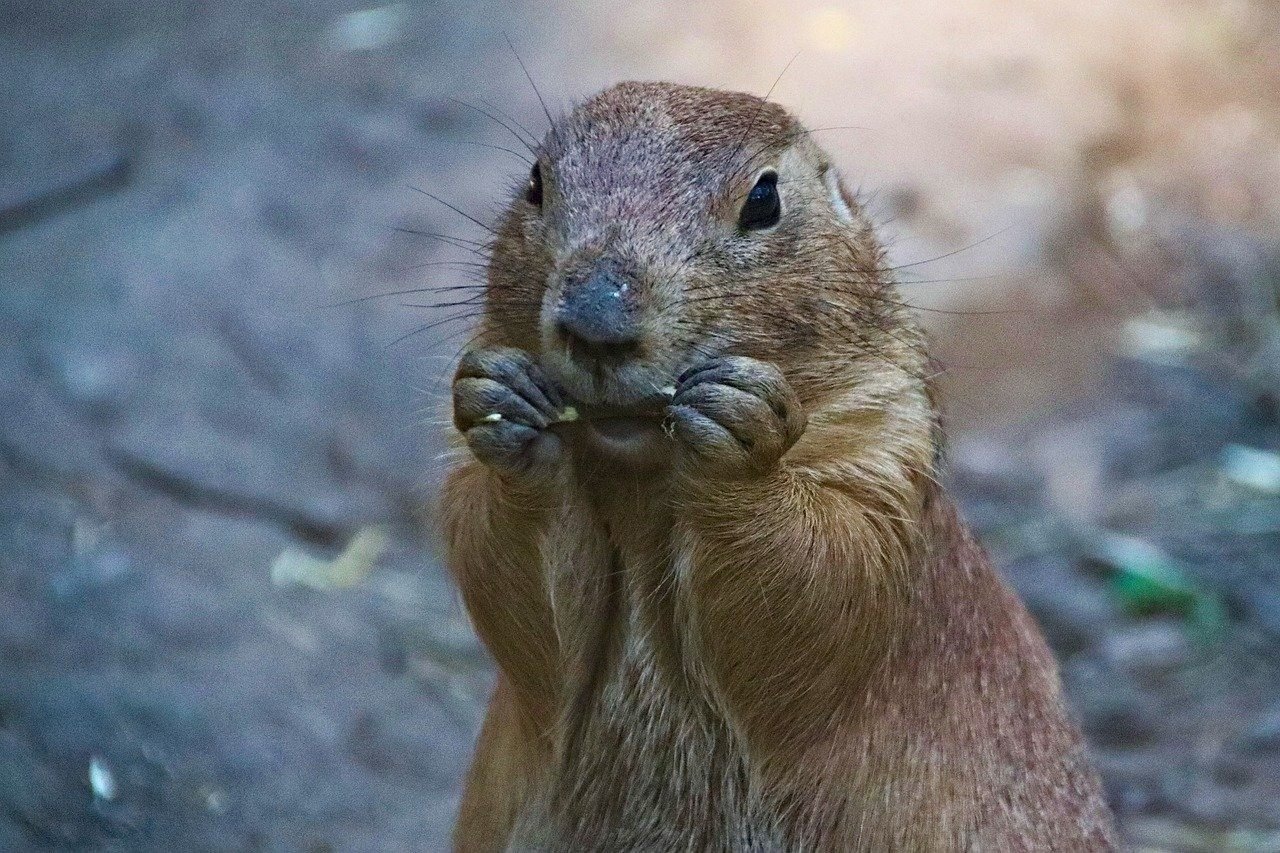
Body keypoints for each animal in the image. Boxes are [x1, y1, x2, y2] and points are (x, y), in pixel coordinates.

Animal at [440, 81, 1117, 851]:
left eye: (764, 199)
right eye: (536, 182)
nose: (596, 318)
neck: (643, 476)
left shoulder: (883, 445)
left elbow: (828, 576)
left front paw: (740, 428)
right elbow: (508, 581)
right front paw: (500, 397)